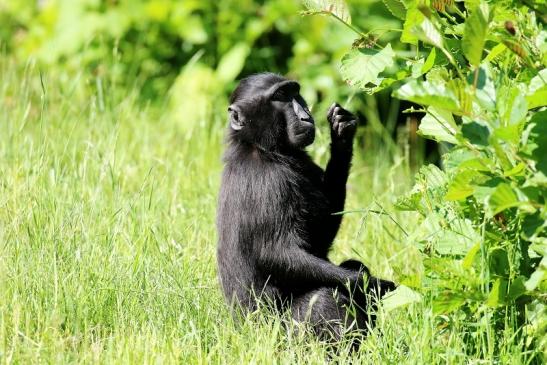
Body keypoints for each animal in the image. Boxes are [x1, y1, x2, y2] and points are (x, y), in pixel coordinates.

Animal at [216, 73, 396, 338]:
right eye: (281, 96)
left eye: (295, 93)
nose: (305, 114)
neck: (262, 148)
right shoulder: (269, 182)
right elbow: (280, 253)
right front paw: (371, 284)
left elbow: (317, 239)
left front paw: (342, 134)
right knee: (323, 298)